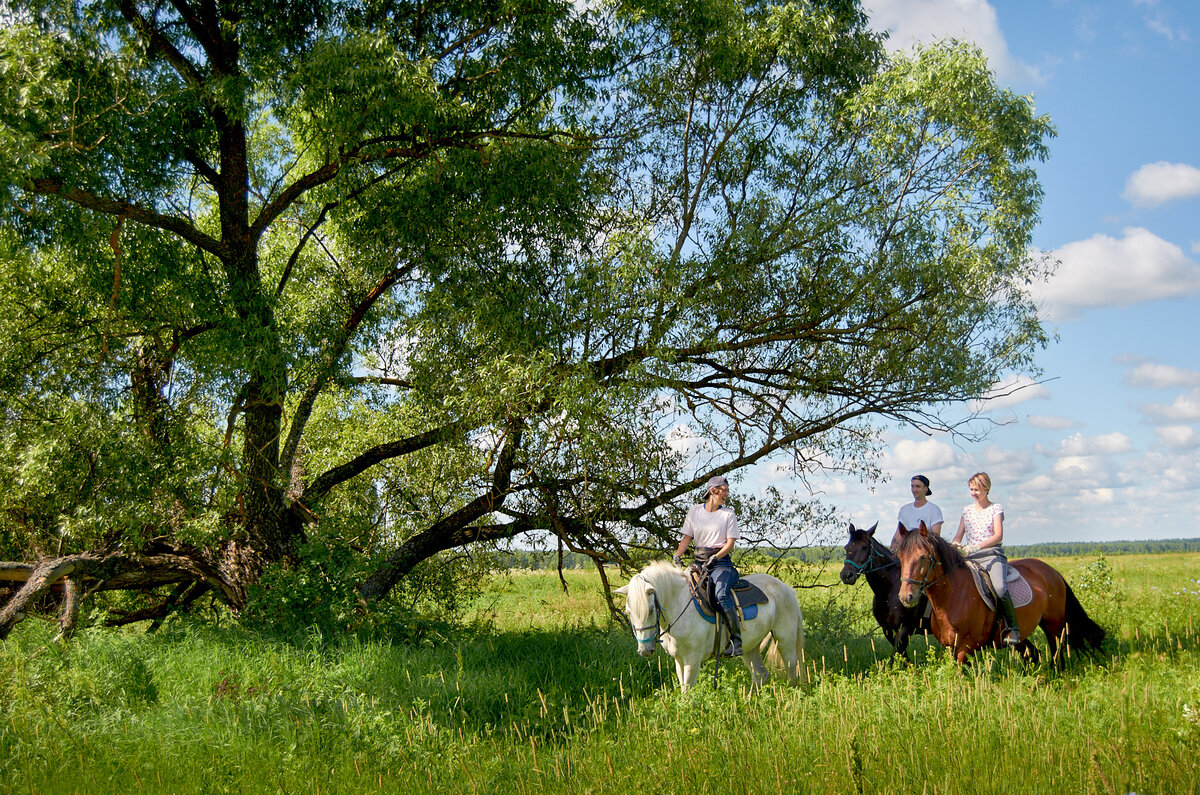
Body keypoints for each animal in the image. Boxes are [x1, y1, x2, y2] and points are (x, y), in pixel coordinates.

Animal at [619, 559, 806, 691]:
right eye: (628, 612)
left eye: (651, 609)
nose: (645, 650)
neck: (680, 605)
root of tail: (787, 588)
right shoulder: (679, 660)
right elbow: (683, 689)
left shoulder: (693, 660)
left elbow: (687, 691)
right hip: (750, 647)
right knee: (760, 675)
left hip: (785, 639)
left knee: (791, 670)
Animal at [840, 521, 931, 658]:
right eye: (846, 547)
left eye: (864, 547)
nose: (846, 575)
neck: (889, 591)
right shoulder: (887, 629)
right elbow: (902, 656)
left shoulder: (906, 628)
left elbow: (896, 655)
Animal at [892, 523, 1104, 667]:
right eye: (900, 557)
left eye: (922, 557)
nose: (906, 597)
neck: (952, 597)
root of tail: (1052, 572)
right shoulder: (950, 647)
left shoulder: (964, 648)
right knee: (1033, 653)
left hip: (1054, 626)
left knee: (1056, 654)